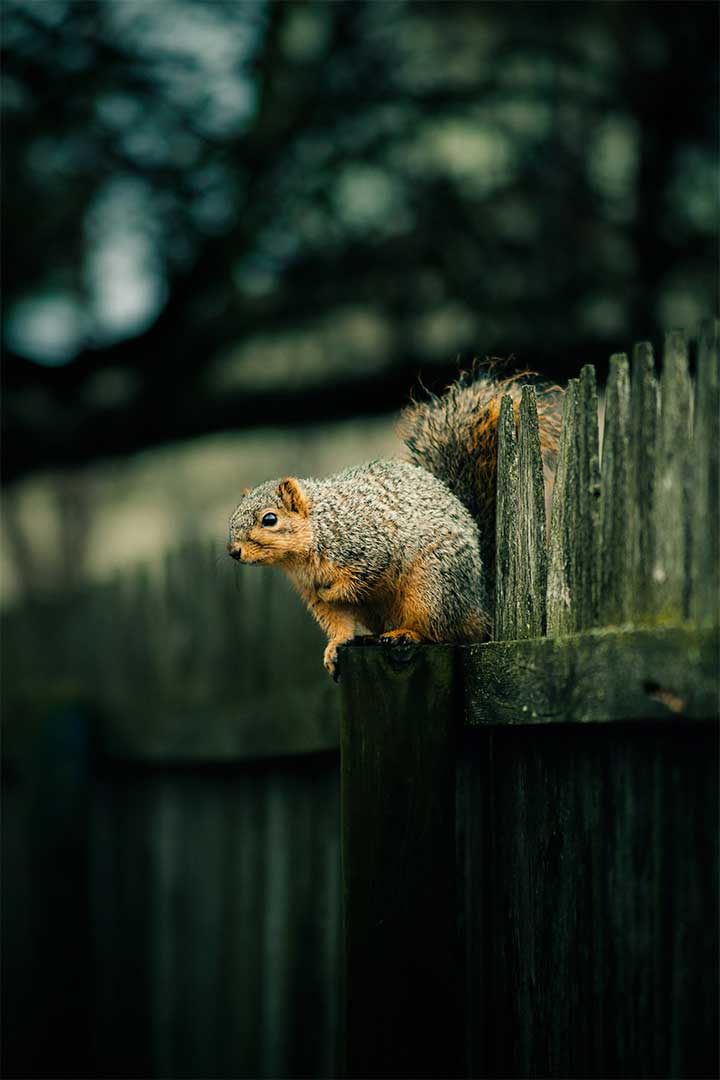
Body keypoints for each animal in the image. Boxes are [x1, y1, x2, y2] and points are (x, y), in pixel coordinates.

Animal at [227, 366, 561, 679]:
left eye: (270, 519)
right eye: (233, 517)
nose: (233, 552)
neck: (318, 530)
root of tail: (481, 601)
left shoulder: (369, 546)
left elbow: (361, 578)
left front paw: (332, 591)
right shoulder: (311, 590)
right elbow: (339, 622)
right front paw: (335, 647)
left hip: (433, 585)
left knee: (442, 630)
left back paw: (407, 633)